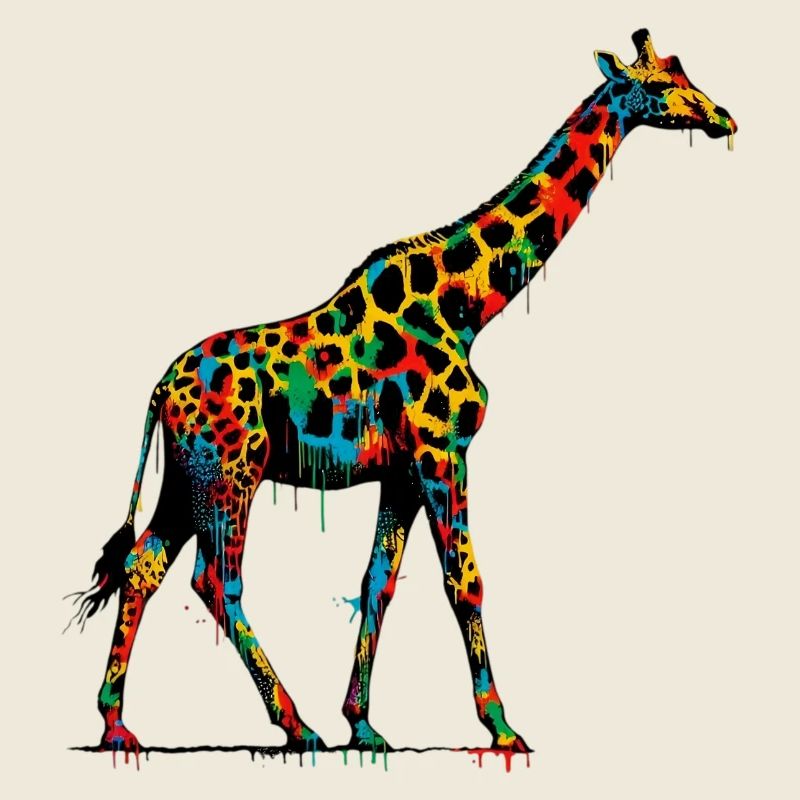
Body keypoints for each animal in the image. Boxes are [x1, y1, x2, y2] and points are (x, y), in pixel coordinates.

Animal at [73, 29, 736, 756]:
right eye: (664, 85)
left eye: (685, 73)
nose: (723, 118)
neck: (470, 305)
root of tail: (161, 388)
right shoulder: (442, 450)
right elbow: (464, 581)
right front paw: (502, 727)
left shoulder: (401, 471)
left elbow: (377, 584)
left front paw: (363, 725)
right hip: (232, 472)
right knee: (215, 578)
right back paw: (295, 726)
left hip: (186, 478)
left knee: (143, 568)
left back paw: (116, 725)